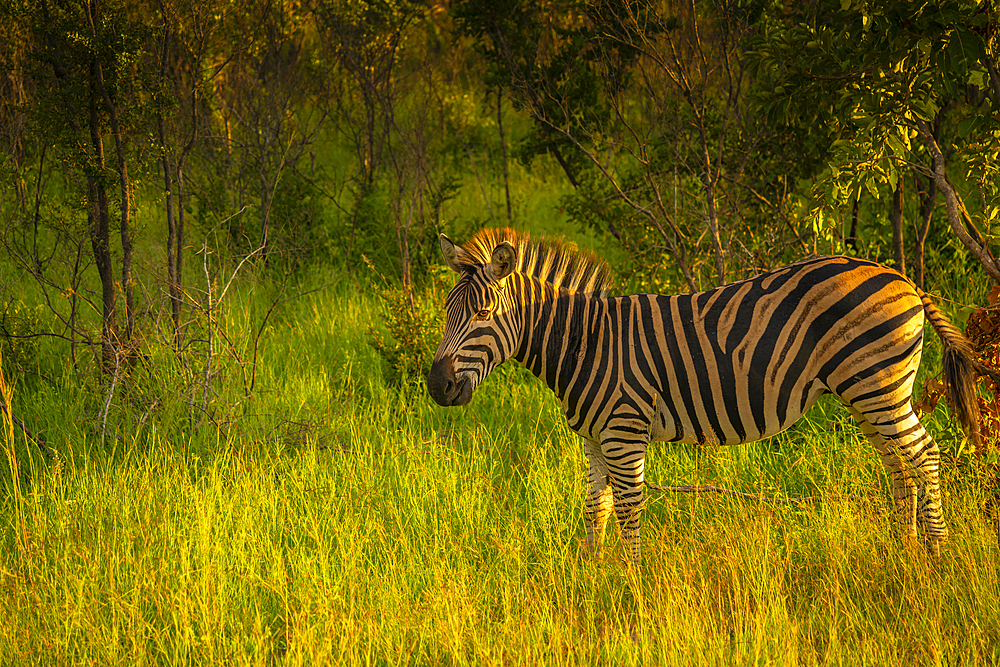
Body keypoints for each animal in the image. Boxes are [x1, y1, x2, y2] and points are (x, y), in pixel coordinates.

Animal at [426, 227, 988, 560]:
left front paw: (630, 585)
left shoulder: (624, 431)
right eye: (446, 312)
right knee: (899, 463)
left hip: (877, 384)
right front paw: (592, 576)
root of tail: (902, 277)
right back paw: (903, 552)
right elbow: (594, 508)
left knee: (925, 454)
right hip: (870, 391)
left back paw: (936, 557)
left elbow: (628, 508)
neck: (587, 343)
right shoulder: (593, 438)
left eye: (481, 314)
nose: (436, 385)